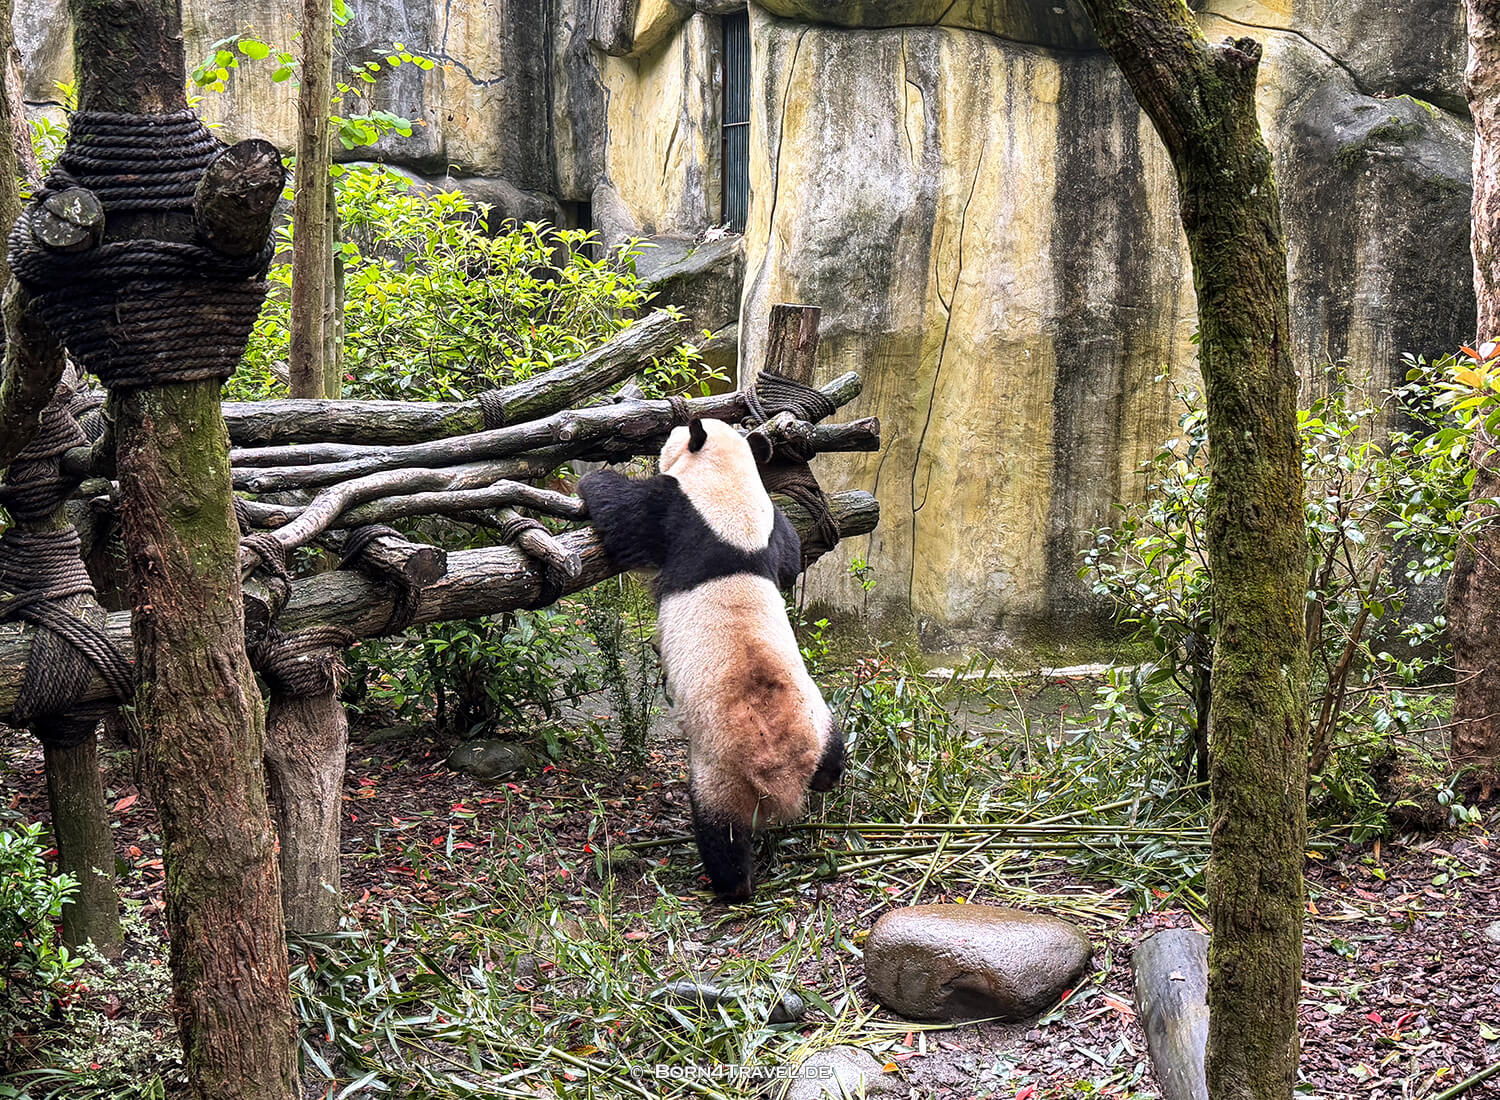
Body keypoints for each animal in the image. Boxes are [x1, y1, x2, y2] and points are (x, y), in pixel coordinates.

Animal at [577, 416, 844, 900]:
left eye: (669, 438)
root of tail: (783, 775)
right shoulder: (770, 531)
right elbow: (791, 557)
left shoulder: (677, 514)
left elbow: (625, 516)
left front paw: (591, 483)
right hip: (819, 719)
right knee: (834, 754)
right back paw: (828, 778)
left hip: (722, 773)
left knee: (722, 830)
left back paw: (732, 885)